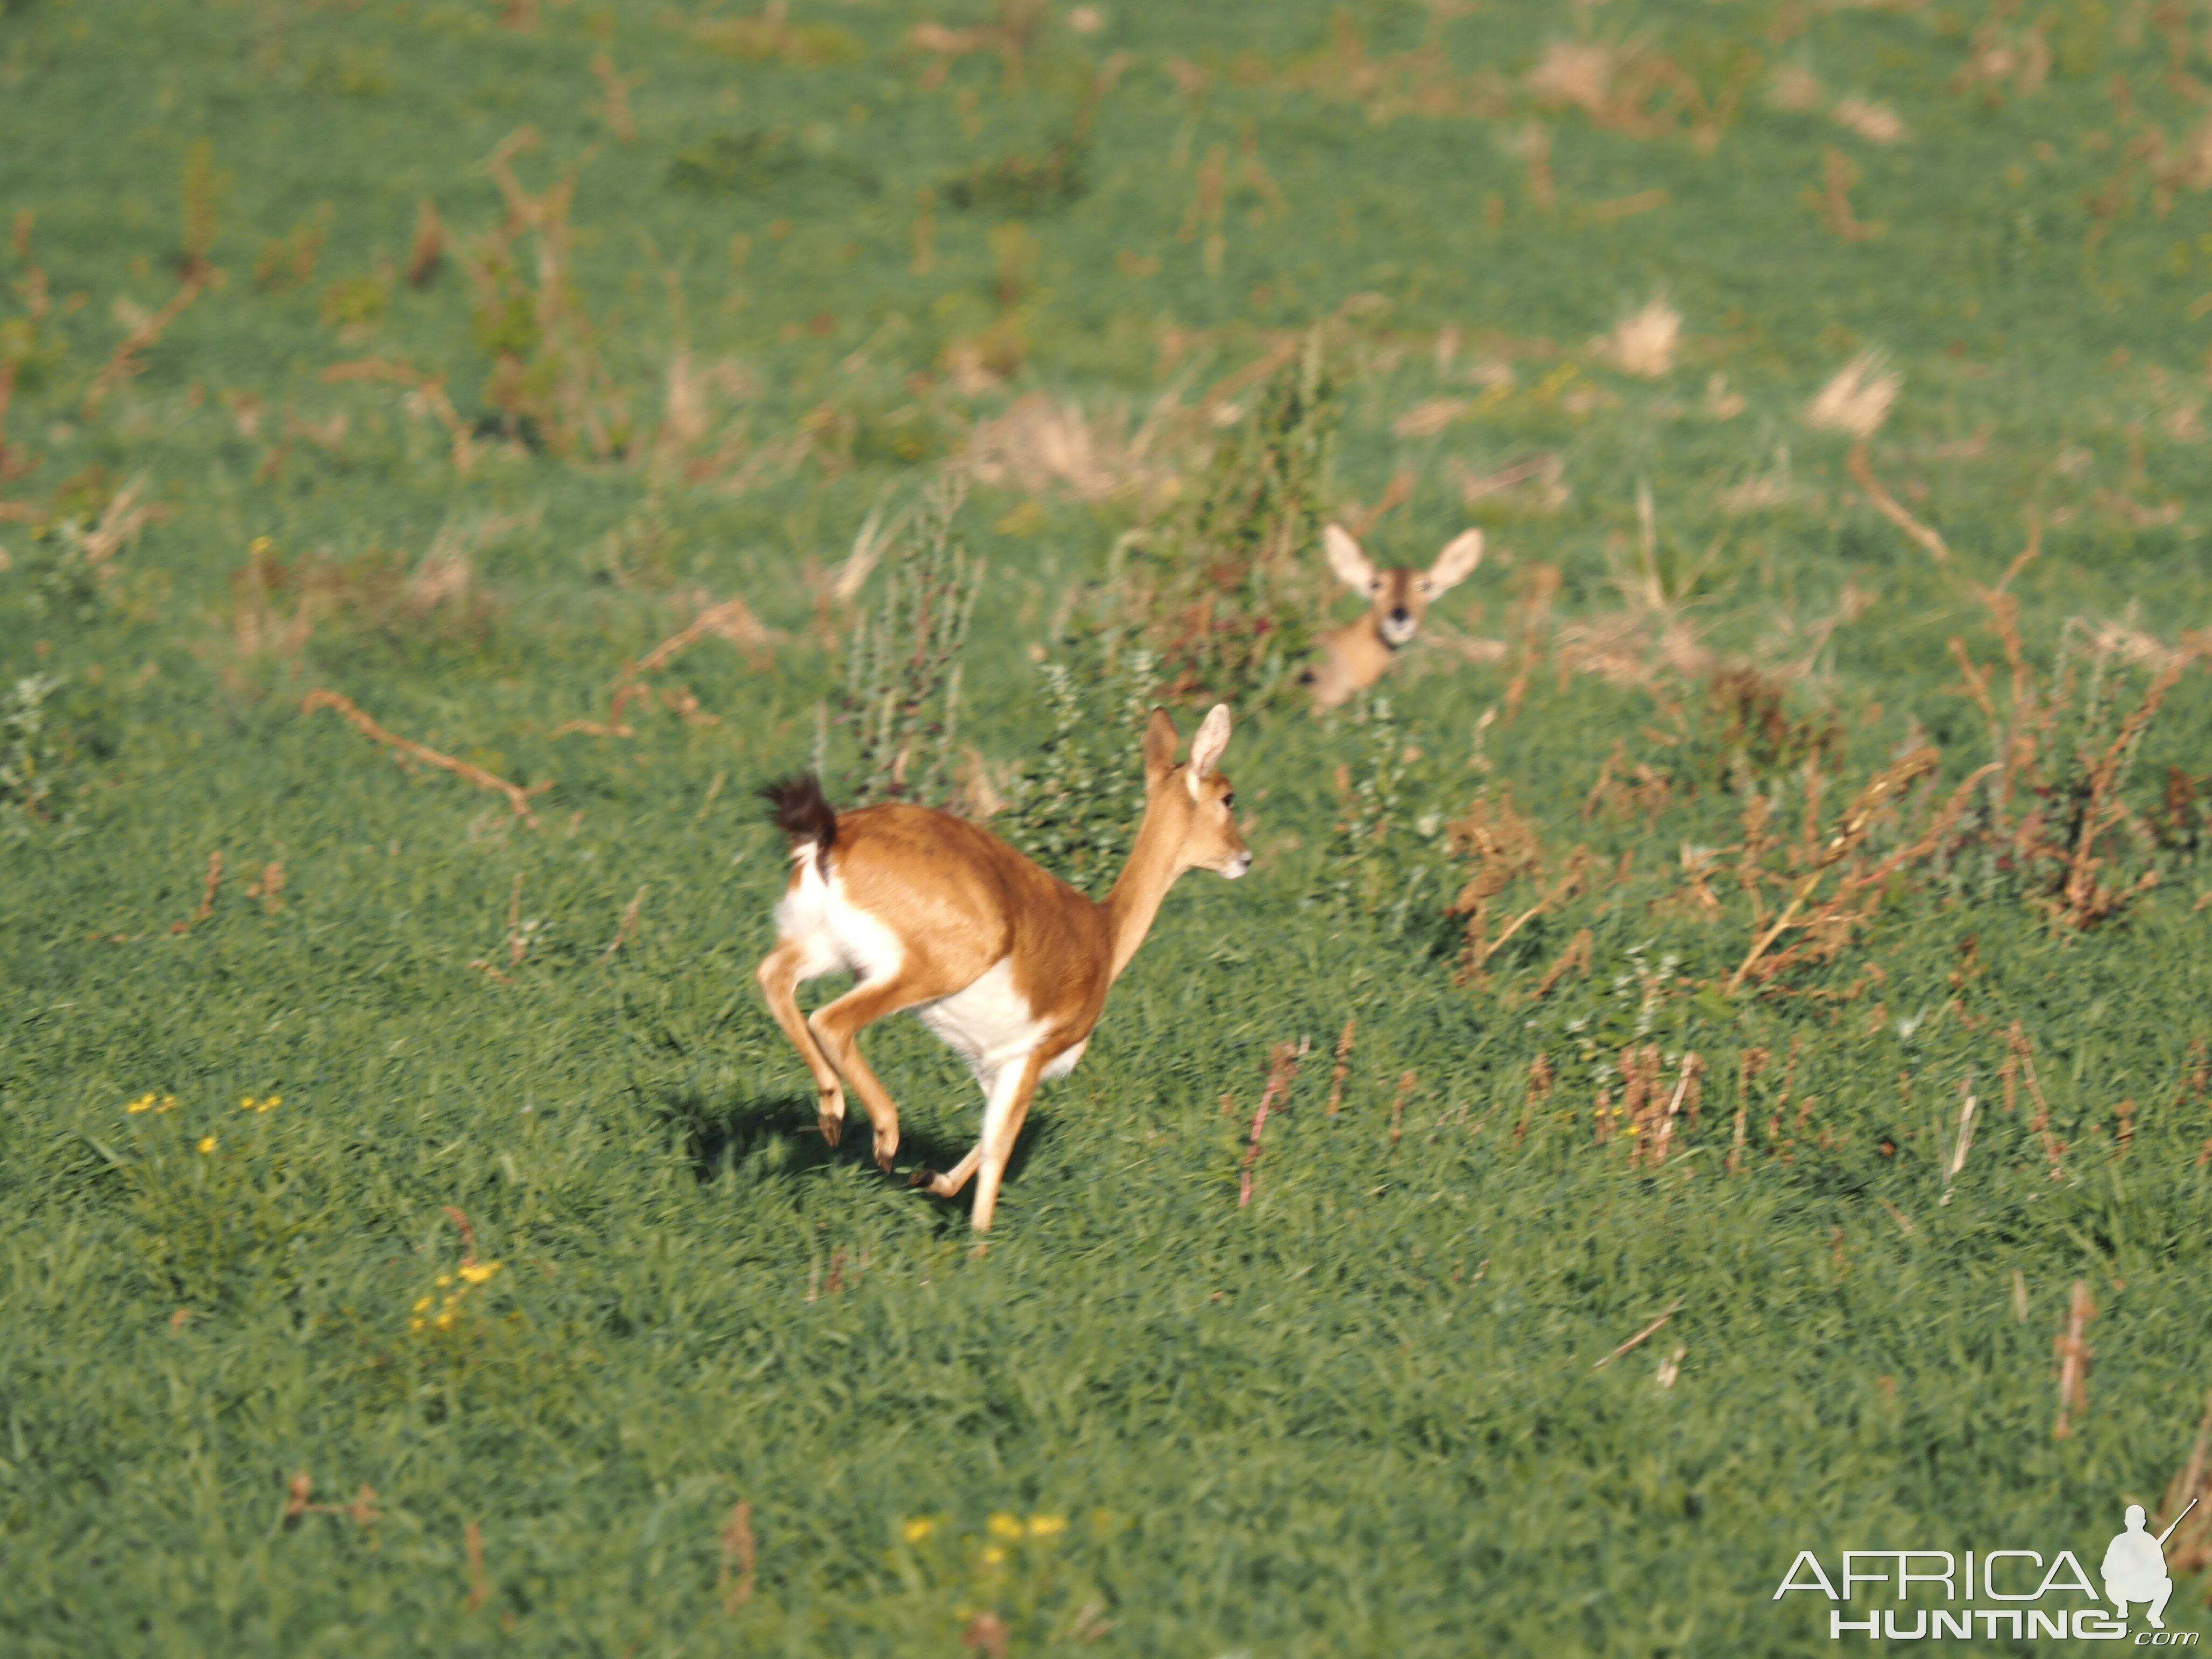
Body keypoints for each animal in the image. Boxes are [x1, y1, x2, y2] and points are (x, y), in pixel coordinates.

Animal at [756, 703, 1247, 1238]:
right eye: (1228, 795)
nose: (1244, 857)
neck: (1105, 935)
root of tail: (831, 836)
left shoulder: (993, 1065)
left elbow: (983, 1143)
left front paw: (929, 1179)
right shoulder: (1032, 1055)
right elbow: (997, 1152)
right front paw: (978, 1243)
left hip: (826, 950)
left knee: (772, 978)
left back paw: (833, 1116)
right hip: (930, 968)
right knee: (829, 1019)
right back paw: (885, 1138)